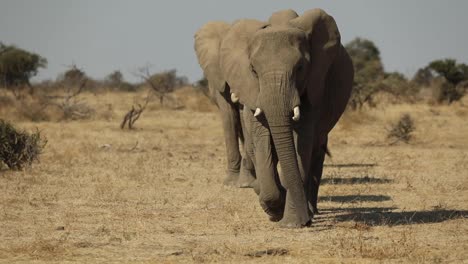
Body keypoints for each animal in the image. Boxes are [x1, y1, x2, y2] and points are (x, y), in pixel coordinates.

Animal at [192, 8, 352, 227]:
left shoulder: (314, 85)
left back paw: (311, 211)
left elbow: (301, 142)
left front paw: (292, 222)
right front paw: (274, 211)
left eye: (300, 68)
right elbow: (260, 138)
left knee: (316, 150)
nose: (304, 221)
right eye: (253, 70)